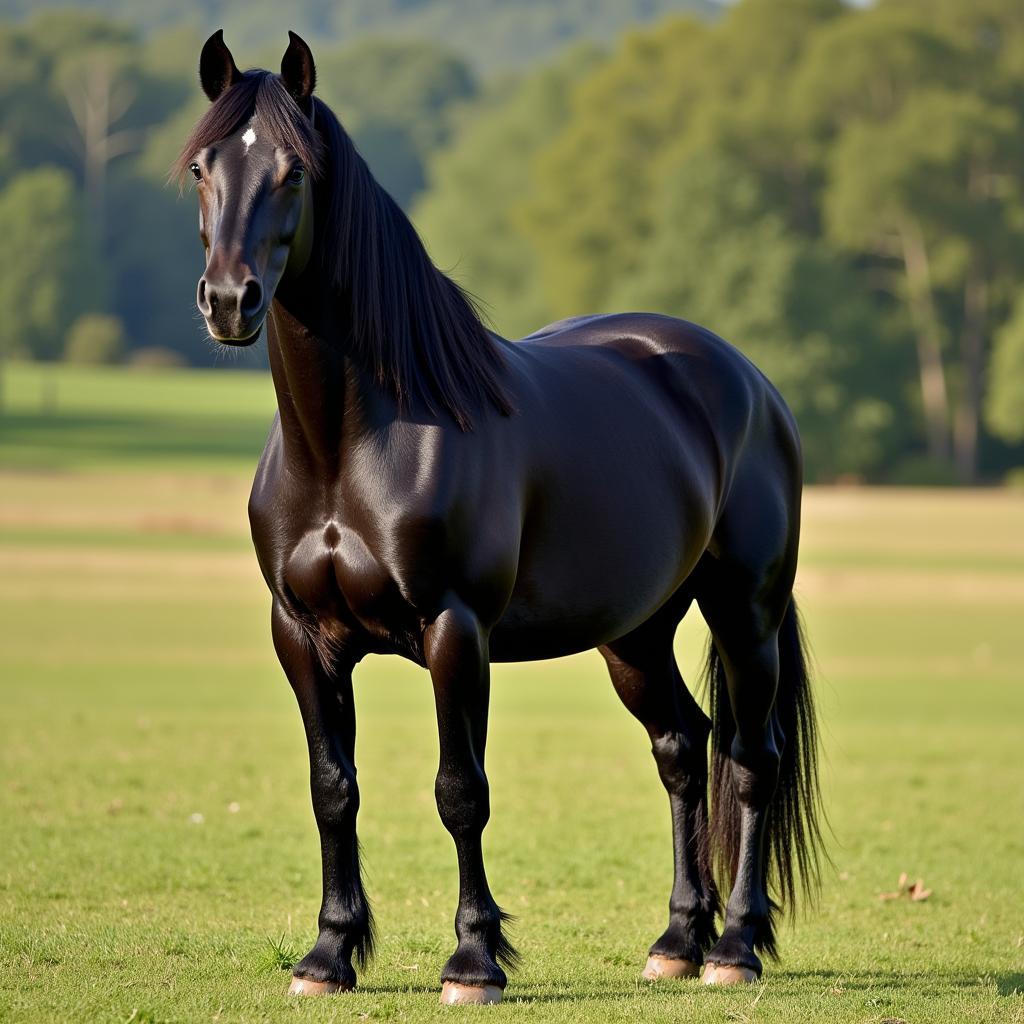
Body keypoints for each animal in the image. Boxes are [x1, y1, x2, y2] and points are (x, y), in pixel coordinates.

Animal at [178, 29, 823, 999]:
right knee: (682, 748)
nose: (230, 300)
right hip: (635, 633)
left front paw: (473, 960)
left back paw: (735, 948)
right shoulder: (302, 634)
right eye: (202, 168)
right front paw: (329, 955)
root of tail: (744, 378)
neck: (354, 439)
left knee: (750, 760)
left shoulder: (457, 629)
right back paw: (678, 940)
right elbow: (333, 787)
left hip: (746, 614)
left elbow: (461, 790)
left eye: (294, 171)